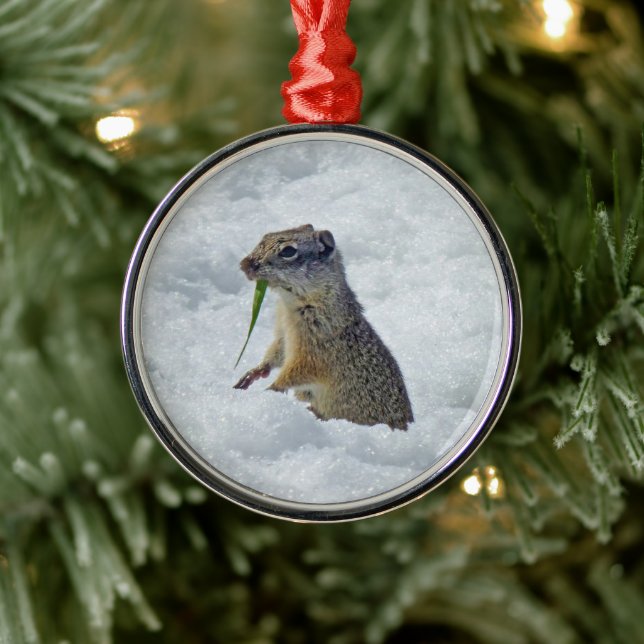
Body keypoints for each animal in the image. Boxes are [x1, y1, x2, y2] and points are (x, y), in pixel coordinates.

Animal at [233, 224, 413, 431]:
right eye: (266, 236)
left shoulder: (315, 354)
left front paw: (270, 389)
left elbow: (294, 373)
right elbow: (275, 354)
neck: (290, 304)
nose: (244, 264)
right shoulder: (283, 337)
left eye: (288, 251)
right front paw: (254, 373)